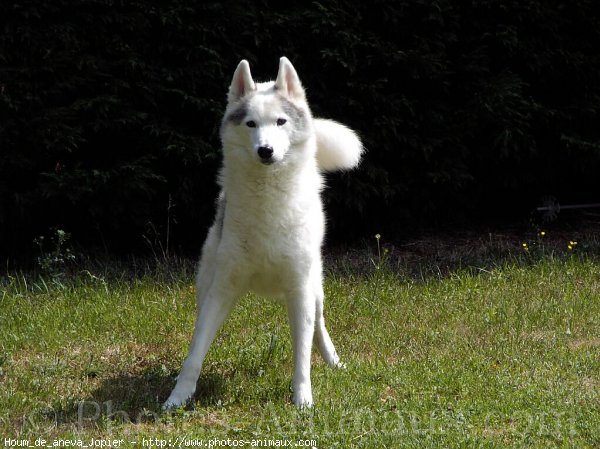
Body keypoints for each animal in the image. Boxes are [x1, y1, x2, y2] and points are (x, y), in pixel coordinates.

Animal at [162, 55, 364, 406]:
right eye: (251, 124)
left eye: (281, 122)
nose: (265, 150)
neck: (267, 199)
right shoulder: (220, 291)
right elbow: (195, 352)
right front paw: (178, 397)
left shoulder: (300, 292)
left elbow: (302, 357)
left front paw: (303, 400)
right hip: (206, 285)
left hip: (314, 288)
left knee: (319, 326)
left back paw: (333, 361)